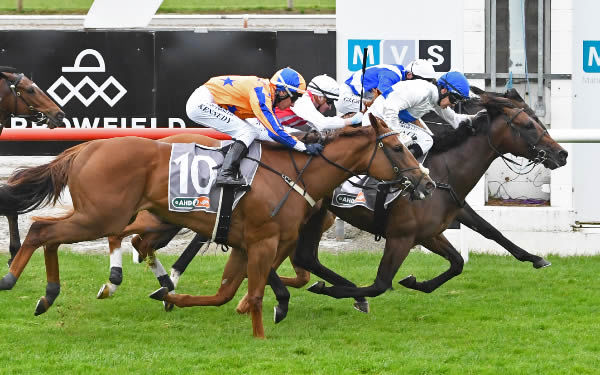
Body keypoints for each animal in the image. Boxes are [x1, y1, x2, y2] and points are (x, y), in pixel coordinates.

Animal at [0, 114, 432, 338]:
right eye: (398, 148)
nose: (425, 182)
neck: (296, 173)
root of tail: (83, 148)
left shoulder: (247, 243)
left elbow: (227, 293)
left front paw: (171, 297)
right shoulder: (263, 240)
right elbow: (255, 293)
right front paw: (262, 334)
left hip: (108, 215)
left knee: (59, 235)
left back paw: (50, 294)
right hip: (101, 215)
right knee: (42, 229)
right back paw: (17, 280)